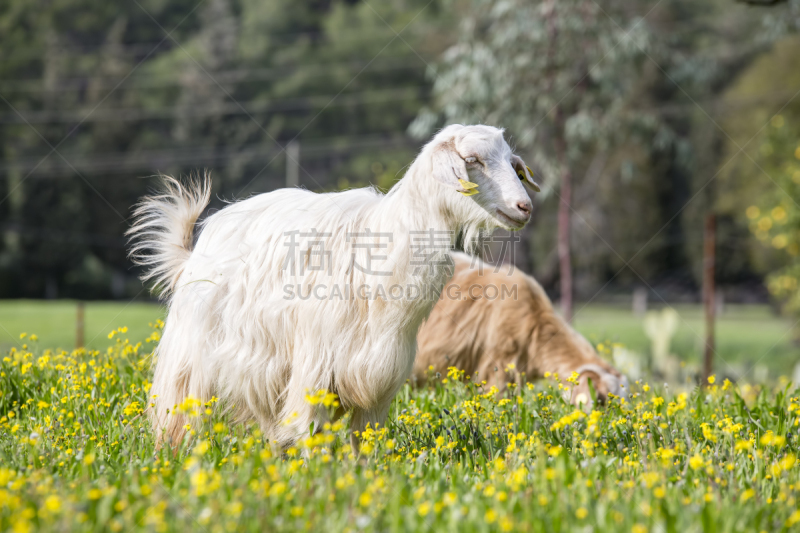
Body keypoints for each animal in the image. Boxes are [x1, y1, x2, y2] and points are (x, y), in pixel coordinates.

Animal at [128, 124, 540, 448]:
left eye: (512, 163)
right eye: (473, 159)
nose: (524, 207)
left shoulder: (378, 380)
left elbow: (364, 445)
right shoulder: (315, 371)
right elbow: (313, 437)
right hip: (189, 359)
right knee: (176, 417)